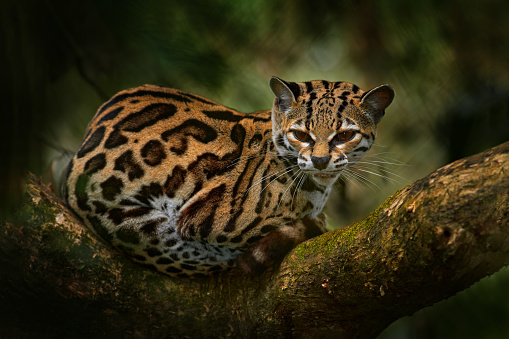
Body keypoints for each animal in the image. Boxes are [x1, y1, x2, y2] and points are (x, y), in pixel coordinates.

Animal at [62, 77, 392, 278]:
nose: (320, 160)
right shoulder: (210, 218)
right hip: (141, 230)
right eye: (300, 135)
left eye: (345, 135)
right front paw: (314, 223)